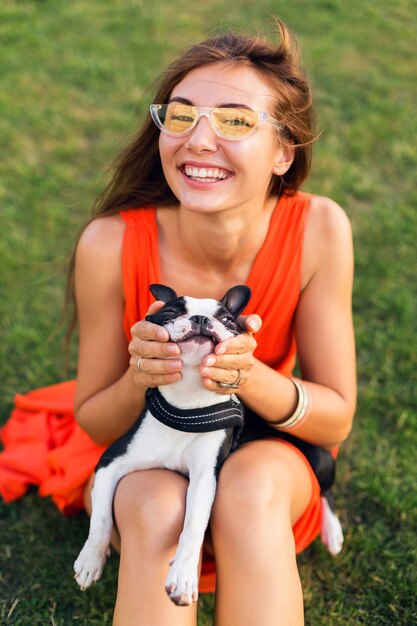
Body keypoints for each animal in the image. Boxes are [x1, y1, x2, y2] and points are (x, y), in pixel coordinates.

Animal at [75, 284, 342, 604]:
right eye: (169, 312)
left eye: (226, 320)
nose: (202, 319)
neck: (186, 407)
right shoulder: (111, 461)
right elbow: (101, 516)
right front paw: (91, 558)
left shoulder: (204, 477)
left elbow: (192, 525)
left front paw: (183, 575)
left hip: (320, 458)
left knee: (326, 493)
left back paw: (332, 532)